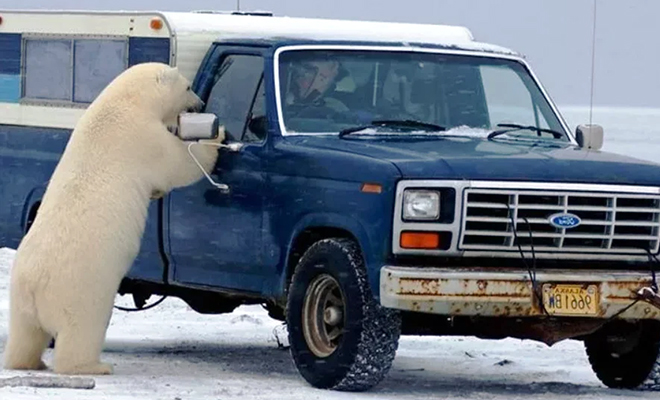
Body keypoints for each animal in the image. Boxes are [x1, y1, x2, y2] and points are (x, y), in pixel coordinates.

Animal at [1, 61, 224, 376]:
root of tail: (35, 287)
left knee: (25, 335)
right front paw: (217, 136)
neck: (125, 101)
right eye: (188, 86)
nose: (200, 104)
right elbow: (180, 162)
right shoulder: (144, 136)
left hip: (20, 299)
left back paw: (29, 361)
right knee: (81, 331)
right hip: (80, 292)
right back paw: (94, 366)